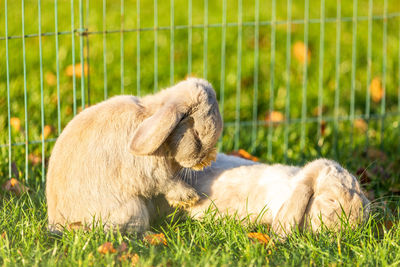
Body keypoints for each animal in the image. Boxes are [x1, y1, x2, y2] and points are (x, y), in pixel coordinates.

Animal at [46, 78, 225, 234]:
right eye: (197, 135)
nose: (205, 160)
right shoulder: (151, 171)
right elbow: (167, 182)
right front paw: (189, 197)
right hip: (133, 209)